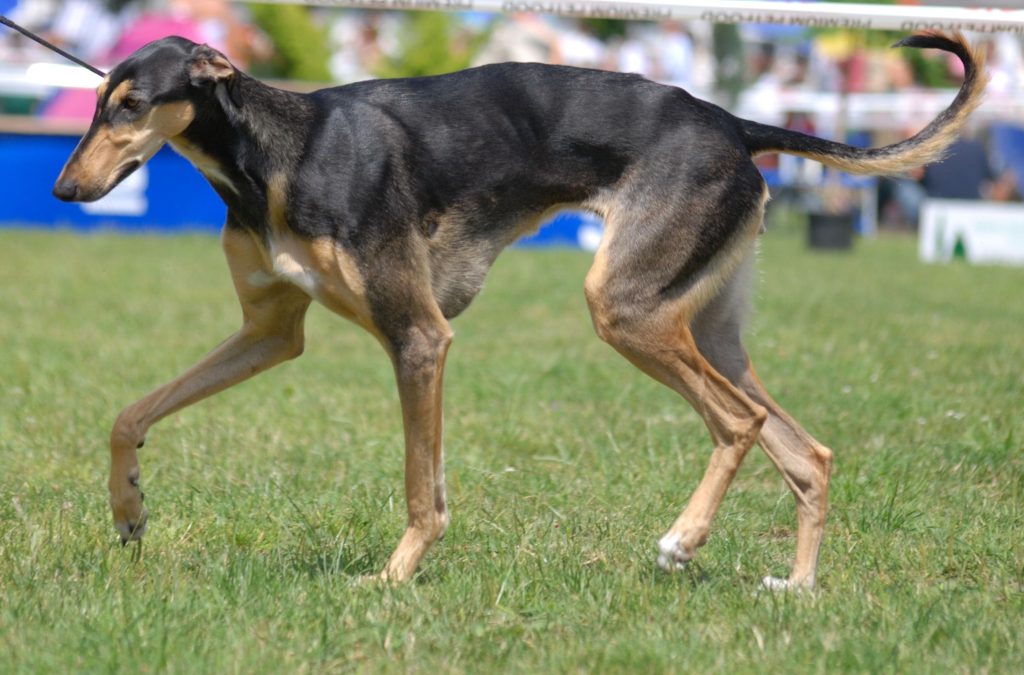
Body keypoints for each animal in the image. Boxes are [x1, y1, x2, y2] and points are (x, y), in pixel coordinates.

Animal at [54, 34, 983, 589]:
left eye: (132, 106)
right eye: (97, 102)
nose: (65, 189)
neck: (278, 154)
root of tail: (730, 120)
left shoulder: (419, 337)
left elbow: (420, 489)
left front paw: (393, 578)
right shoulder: (268, 333)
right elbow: (129, 415)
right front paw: (129, 510)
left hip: (627, 310)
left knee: (740, 422)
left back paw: (683, 540)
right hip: (706, 326)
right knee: (807, 451)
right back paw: (796, 586)